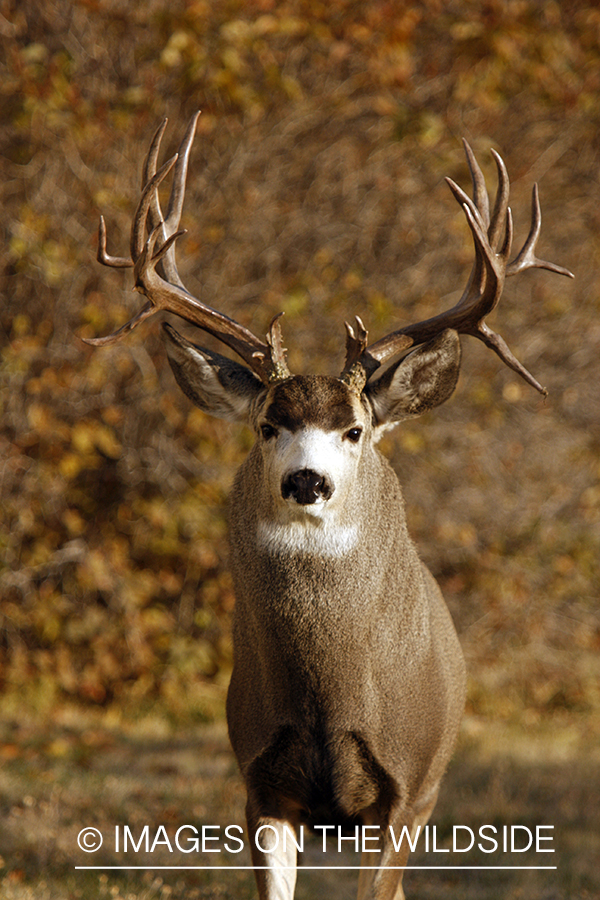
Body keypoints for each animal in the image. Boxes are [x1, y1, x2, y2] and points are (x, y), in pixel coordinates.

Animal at [84, 113, 572, 900]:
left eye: (355, 430)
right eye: (266, 425)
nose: (306, 482)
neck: (329, 693)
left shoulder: (406, 789)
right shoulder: (260, 782)